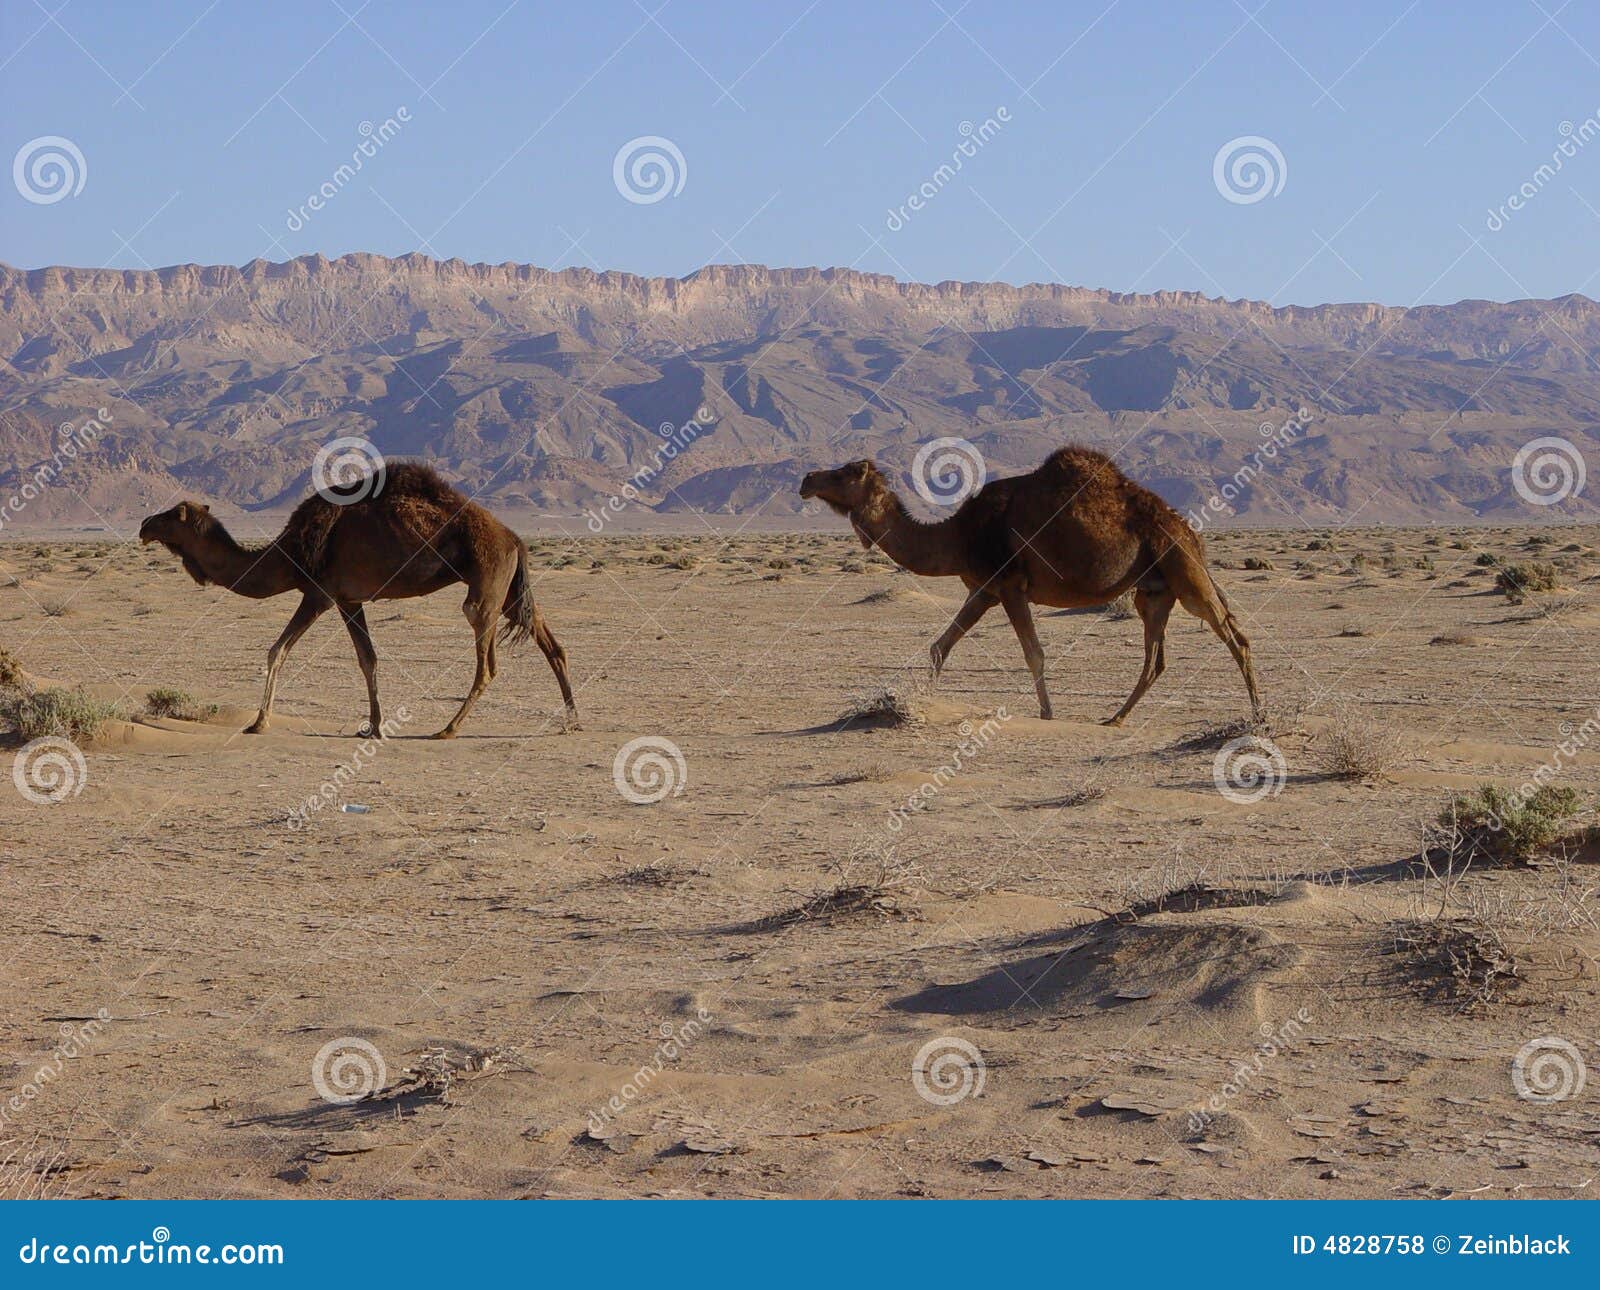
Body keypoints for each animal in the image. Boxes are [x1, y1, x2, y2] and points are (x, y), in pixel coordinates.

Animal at [137, 467, 576, 749]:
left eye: (171, 515)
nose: (143, 524)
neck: (290, 551)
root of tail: (514, 537)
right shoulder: (350, 599)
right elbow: (368, 658)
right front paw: (374, 726)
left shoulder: (320, 593)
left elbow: (278, 650)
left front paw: (259, 723)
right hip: (509, 588)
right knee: (550, 641)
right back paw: (573, 720)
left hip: (486, 583)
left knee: (487, 659)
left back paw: (447, 729)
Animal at [800, 448, 1260, 726]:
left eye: (845, 473)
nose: (807, 478)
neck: (955, 536)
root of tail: (1188, 529)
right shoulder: (983, 590)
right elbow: (940, 645)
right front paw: (924, 699)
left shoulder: (1009, 585)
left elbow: (1034, 653)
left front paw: (1047, 714)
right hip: (1155, 590)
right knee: (1156, 658)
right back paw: (1115, 717)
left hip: (1183, 569)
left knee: (1233, 635)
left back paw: (1257, 714)